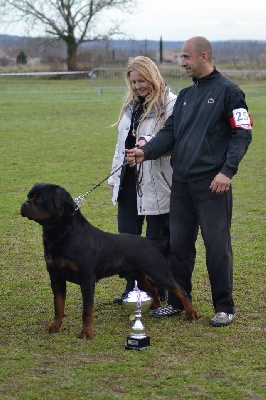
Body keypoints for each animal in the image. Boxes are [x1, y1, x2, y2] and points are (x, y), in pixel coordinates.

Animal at [21, 183, 198, 340]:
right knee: (151, 287)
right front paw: (55, 327)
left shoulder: (87, 280)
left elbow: (87, 310)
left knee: (179, 289)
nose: (23, 204)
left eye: (40, 198)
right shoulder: (56, 277)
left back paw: (191, 313)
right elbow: (58, 305)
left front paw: (86, 333)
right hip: (136, 275)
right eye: (29, 196)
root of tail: (151, 243)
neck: (61, 233)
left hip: (158, 271)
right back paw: (155, 305)